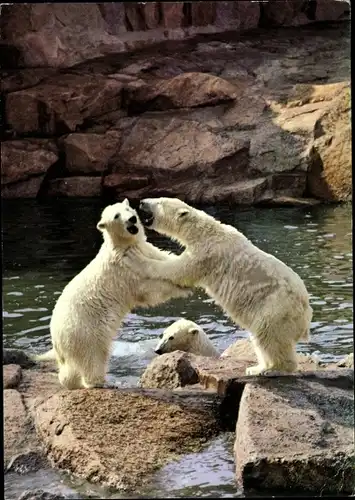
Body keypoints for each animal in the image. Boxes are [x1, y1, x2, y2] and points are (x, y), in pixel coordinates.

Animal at [35, 199, 192, 390]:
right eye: (116, 216)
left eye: (127, 208)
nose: (132, 219)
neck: (122, 246)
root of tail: (56, 336)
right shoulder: (124, 269)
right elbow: (148, 289)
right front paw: (182, 288)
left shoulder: (145, 250)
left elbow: (165, 259)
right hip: (86, 331)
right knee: (93, 358)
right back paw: (101, 383)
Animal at [134, 196, 314, 376]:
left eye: (159, 202)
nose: (142, 202)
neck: (206, 233)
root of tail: (306, 315)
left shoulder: (206, 255)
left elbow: (180, 271)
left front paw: (142, 261)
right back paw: (258, 366)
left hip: (276, 307)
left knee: (268, 333)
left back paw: (269, 369)